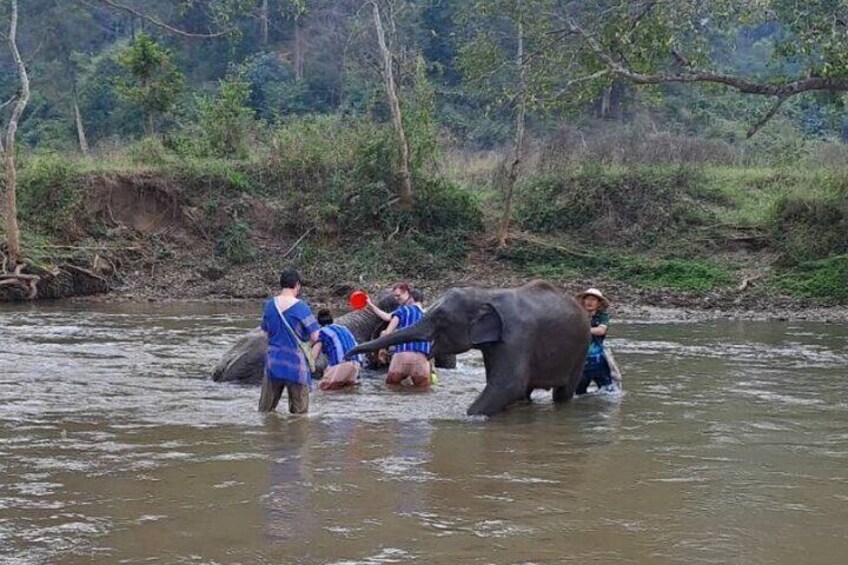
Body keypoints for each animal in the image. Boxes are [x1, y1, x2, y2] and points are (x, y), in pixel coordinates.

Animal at [344, 280, 588, 416]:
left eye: (441, 319)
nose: (348, 354)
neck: (486, 294)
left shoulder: (517, 336)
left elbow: (508, 385)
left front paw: (468, 417)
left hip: (580, 350)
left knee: (562, 393)